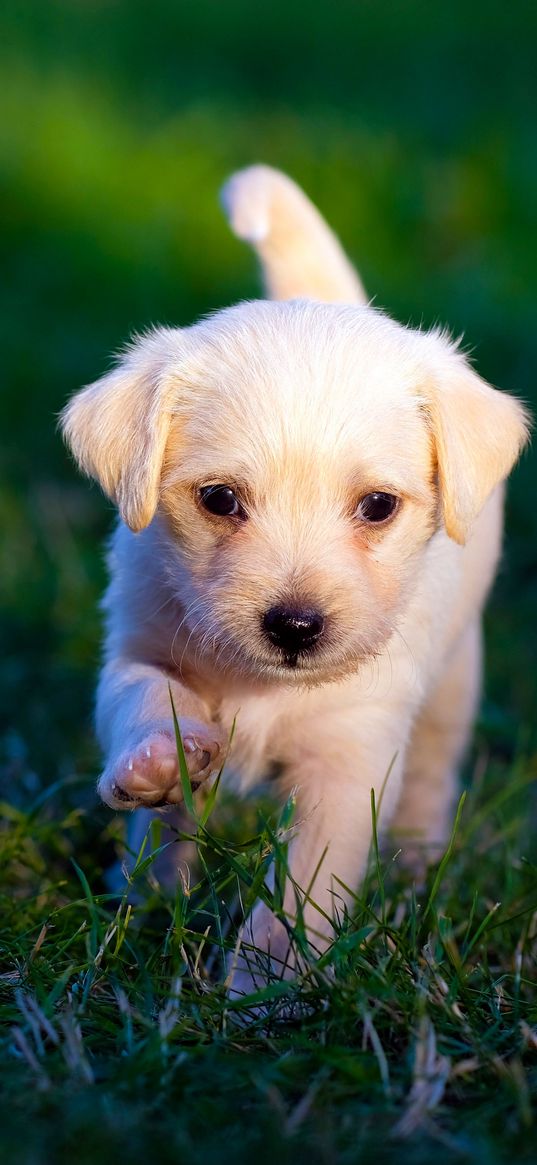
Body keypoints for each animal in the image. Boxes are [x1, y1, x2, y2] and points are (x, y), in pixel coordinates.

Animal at [62, 166, 526, 992]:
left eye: (377, 506)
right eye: (219, 499)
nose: (295, 626)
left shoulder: (349, 761)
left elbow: (300, 891)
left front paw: (265, 990)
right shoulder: (138, 643)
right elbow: (144, 697)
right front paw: (157, 760)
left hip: (453, 682)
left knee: (432, 772)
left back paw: (414, 862)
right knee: (165, 833)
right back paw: (145, 888)